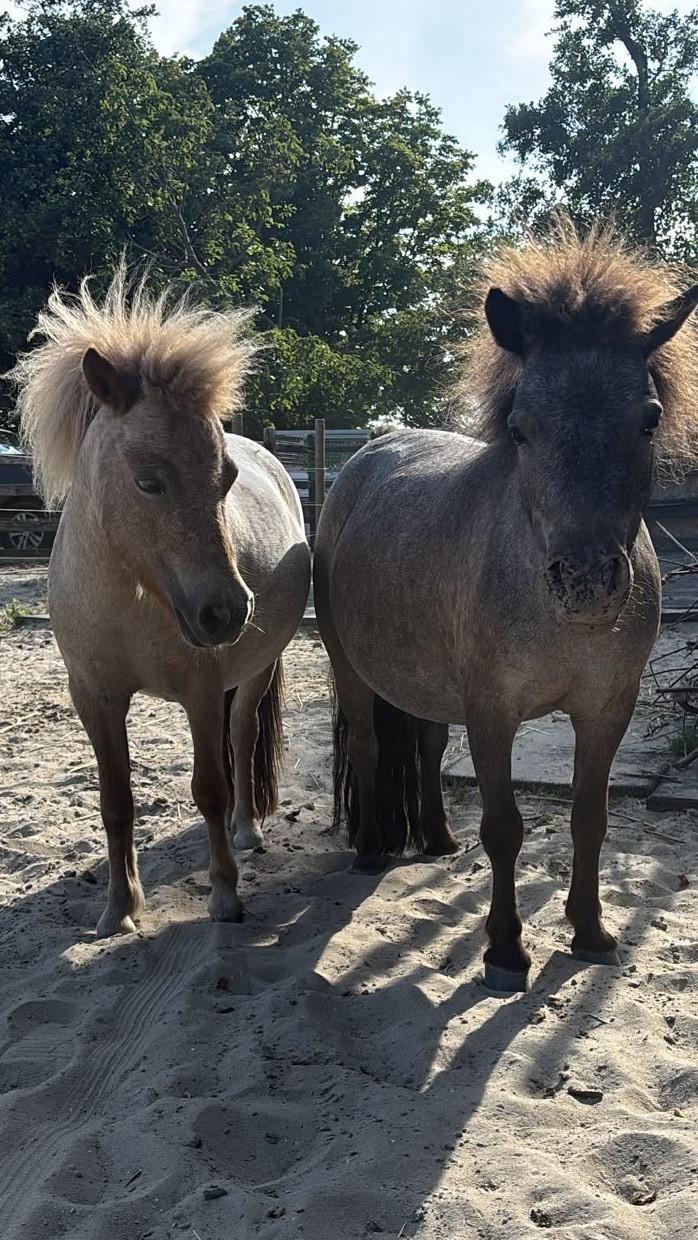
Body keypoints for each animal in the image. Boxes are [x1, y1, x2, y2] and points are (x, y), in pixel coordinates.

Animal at [10, 269, 310, 936]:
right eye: (148, 480)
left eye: (226, 479)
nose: (227, 612)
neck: (130, 602)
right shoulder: (94, 698)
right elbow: (115, 801)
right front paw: (119, 908)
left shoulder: (200, 690)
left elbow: (210, 788)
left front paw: (224, 894)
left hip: (255, 670)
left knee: (243, 735)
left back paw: (245, 833)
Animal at [314, 222, 698, 993]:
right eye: (521, 428)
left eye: (648, 422)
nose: (586, 581)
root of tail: (367, 455)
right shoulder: (493, 711)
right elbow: (504, 827)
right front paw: (503, 950)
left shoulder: (606, 708)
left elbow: (589, 818)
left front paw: (590, 931)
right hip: (352, 669)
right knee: (370, 747)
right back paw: (371, 850)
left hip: (428, 685)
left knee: (428, 747)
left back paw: (436, 838)